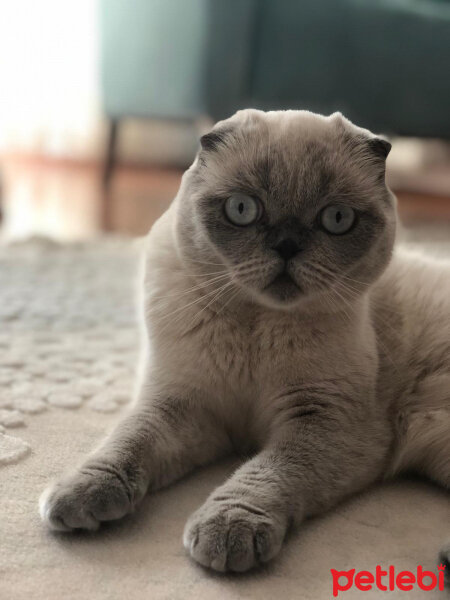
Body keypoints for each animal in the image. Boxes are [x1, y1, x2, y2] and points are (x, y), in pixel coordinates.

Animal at [40, 110, 448, 576]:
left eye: (337, 218)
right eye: (242, 209)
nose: (287, 245)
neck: (256, 324)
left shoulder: (324, 421)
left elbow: (266, 473)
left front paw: (227, 530)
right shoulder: (184, 405)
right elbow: (127, 442)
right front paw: (78, 496)